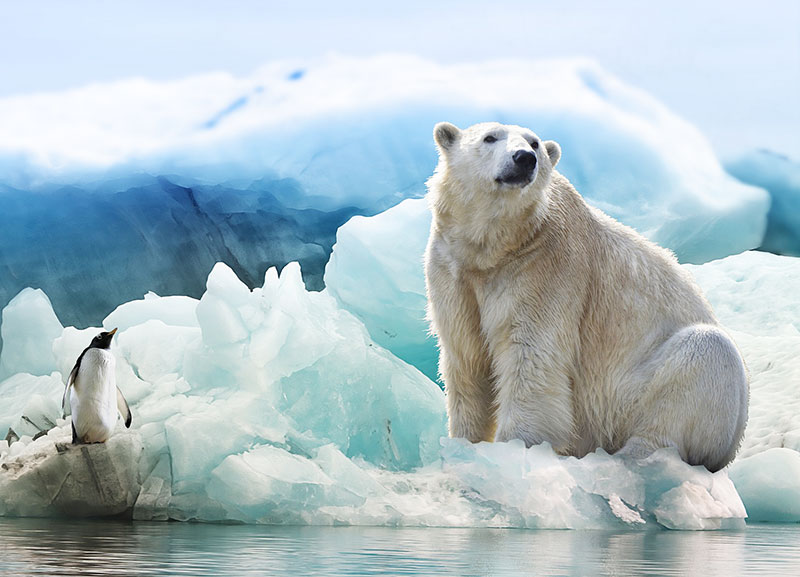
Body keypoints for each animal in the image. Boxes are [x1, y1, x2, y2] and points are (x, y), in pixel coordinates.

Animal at [424, 121, 748, 472]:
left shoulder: (546, 267)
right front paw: (464, 444)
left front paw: (515, 448)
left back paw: (633, 457)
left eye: (534, 143)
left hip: (634, 395)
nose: (524, 159)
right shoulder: (453, 271)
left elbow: (530, 358)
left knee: (704, 355)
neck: (497, 247)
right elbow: (467, 358)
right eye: (489, 137)